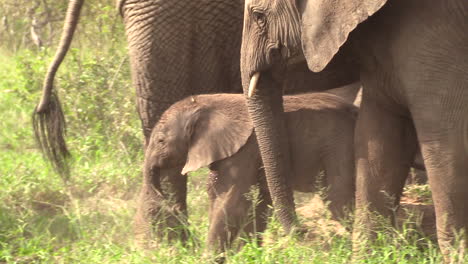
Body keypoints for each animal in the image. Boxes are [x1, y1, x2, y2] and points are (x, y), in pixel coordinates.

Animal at [144, 92, 356, 252]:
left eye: (161, 141)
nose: (171, 207)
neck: (206, 103)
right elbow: (256, 204)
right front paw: (247, 253)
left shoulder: (245, 150)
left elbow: (230, 202)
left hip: (340, 146)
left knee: (339, 200)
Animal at [239, 0, 468, 258]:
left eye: (259, 16)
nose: (303, 234)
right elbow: (379, 139)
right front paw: (371, 255)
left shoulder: (435, 37)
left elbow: (444, 142)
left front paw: (458, 256)